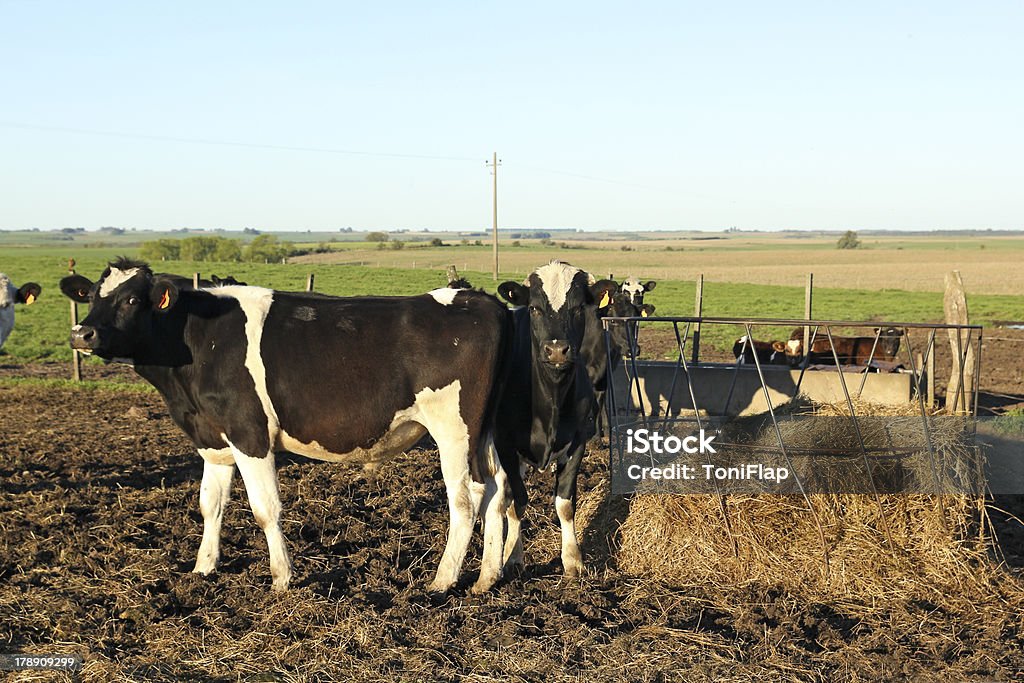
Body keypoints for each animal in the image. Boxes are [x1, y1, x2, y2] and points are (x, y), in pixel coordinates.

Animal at [61, 258, 509, 593]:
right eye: (92, 296)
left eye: (131, 299)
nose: (82, 333)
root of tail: (477, 299)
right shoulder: (213, 441)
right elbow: (210, 504)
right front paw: (203, 569)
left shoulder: (249, 434)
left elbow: (265, 509)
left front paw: (282, 577)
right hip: (485, 433)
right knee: (498, 490)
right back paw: (487, 577)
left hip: (454, 429)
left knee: (466, 497)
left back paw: (443, 579)